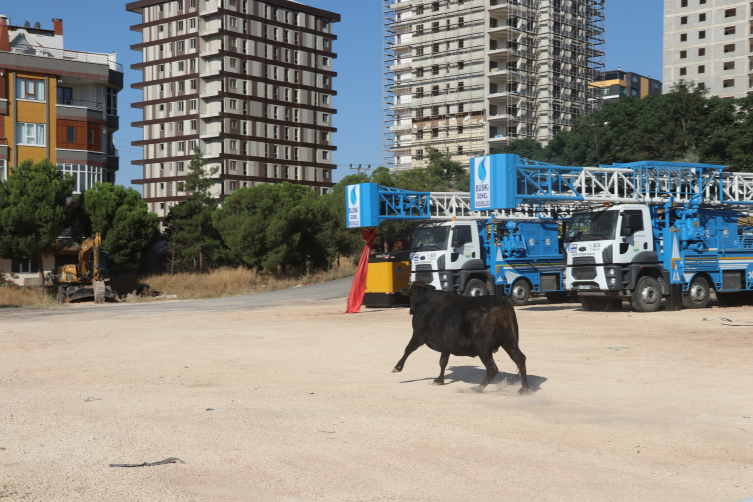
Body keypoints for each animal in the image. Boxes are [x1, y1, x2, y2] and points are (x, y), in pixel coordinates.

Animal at [394, 282, 528, 392]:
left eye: (411, 297)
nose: (410, 310)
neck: (425, 300)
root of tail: (502, 303)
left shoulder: (419, 334)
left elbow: (408, 349)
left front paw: (397, 367)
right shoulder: (446, 343)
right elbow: (443, 361)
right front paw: (439, 380)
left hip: (483, 347)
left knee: (492, 368)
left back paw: (478, 388)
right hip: (509, 340)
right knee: (520, 358)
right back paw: (524, 389)